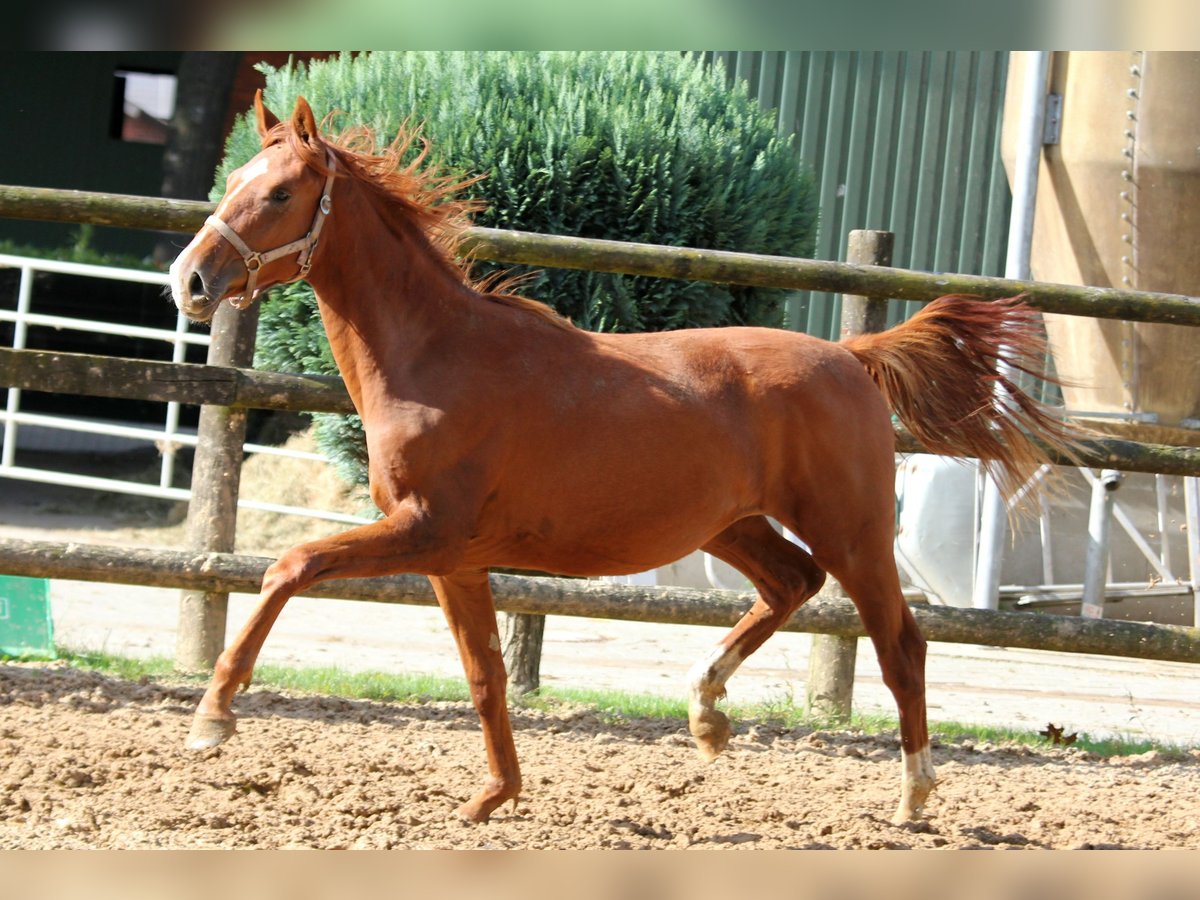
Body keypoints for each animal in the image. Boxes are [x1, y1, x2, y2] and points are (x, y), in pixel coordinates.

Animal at [169, 95, 1080, 830]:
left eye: (279, 192)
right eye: (238, 178)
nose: (190, 281)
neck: (435, 357)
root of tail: (852, 356)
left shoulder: (423, 531)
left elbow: (288, 565)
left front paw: (214, 718)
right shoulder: (453, 557)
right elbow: (485, 675)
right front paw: (493, 797)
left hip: (851, 531)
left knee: (900, 645)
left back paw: (914, 796)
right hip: (730, 526)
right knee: (792, 584)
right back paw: (707, 713)